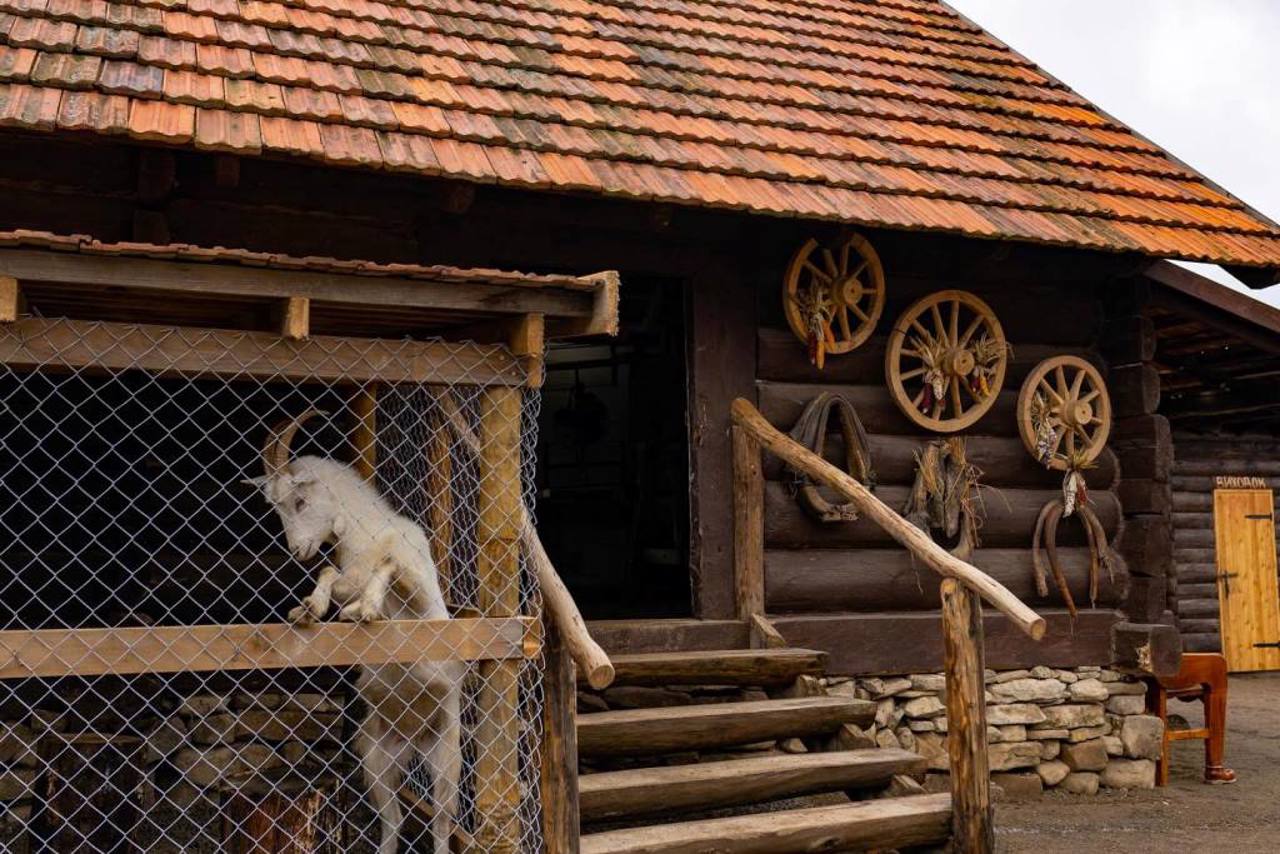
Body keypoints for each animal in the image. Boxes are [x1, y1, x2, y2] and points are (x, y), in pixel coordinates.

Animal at [241, 409, 463, 850]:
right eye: (275, 507)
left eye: (299, 501)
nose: (297, 551)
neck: (368, 534)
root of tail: (414, 738)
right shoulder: (347, 572)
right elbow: (331, 573)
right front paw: (310, 609)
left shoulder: (421, 596)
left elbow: (388, 563)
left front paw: (366, 609)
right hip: (375, 756)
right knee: (392, 819)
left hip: (447, 750)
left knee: (442, 820)